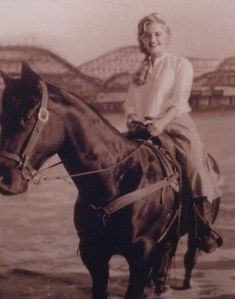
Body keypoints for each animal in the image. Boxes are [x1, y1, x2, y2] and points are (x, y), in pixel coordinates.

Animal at [0, 62, 220, 298]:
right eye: (2, 115)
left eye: (27, 115)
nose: (5, 178)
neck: (116, 180)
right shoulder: (94, 256)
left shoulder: (141, 256)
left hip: (193, 235)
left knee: (189, 258)